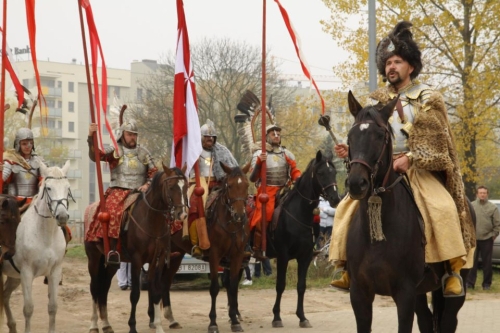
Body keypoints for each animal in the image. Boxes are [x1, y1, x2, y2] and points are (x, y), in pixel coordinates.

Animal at [1, 160, 73, 330]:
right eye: (49, 188)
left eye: (67, 187)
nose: (62, 216)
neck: (45, 235)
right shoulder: (26, 273)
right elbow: (28, 309)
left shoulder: (54, 271)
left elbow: (53, 307)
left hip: (14, 277)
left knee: (5, 295)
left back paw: (12, 326)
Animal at [86, 164, 188, 332]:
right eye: (171, 187)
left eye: (185, 186)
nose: (182, 214)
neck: (151, 220)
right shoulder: (136, 259)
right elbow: (134, 294)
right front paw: (132, 326)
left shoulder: (158, 259)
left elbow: (156, 291)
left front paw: (158, 326)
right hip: (93, 258)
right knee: (94, 287)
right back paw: (94, 325)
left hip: (111, 263)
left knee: (104, 287)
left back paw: (106, 324)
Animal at [146, 161, 252, 332]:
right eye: (229, 186)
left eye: (246, 185)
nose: (239, 215)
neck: (230, 224)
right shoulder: (215, 256)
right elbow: (214, 288)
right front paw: (213, 323)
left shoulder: (237, 256)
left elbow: (233, 287)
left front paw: (235, 321)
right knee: (153, 281)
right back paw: (152, 319)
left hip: (175, 255)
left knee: (165, 282)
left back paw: (171, 319)